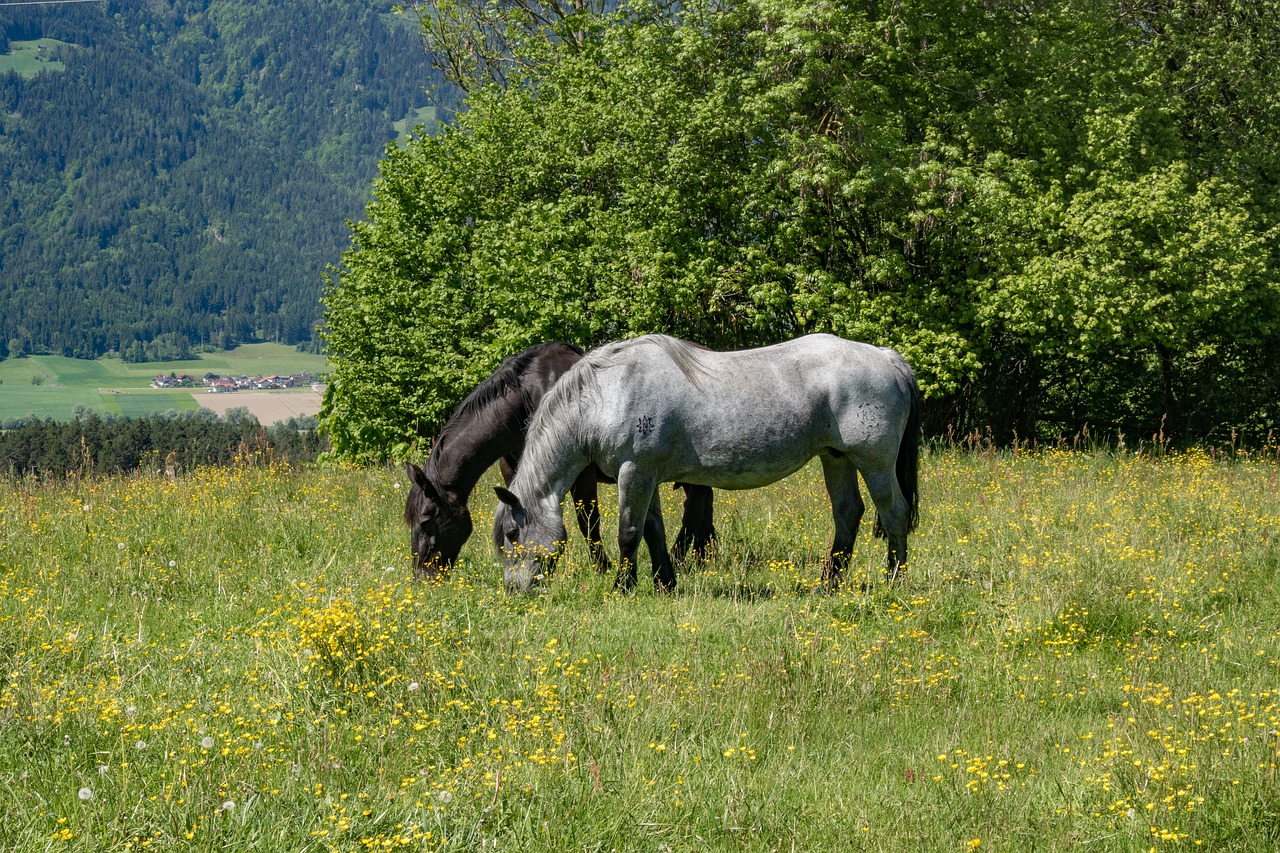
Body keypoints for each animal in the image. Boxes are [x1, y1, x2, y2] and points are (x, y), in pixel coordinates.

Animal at [404, 340, 716, 578]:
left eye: (426, 521)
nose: (423, 576)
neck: (526, 400)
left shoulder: (581, 473)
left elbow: (588, 522)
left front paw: (602, 567)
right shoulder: (515, 471)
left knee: (695, 508)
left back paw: (681, 558)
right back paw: (703, 554)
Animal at [488, 333, 921, 591]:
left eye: (512, 534)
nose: (515, 590)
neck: (608, 394)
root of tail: (888, 357)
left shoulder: (635, 471)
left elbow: (629, 532)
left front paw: (623, 587)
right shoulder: (647, 475)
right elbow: (654, 531)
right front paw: (665, 583)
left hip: (875, 462)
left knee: (894, 513)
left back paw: (894, 580)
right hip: (837, 459)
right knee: (848, 513)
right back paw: (828, 585)